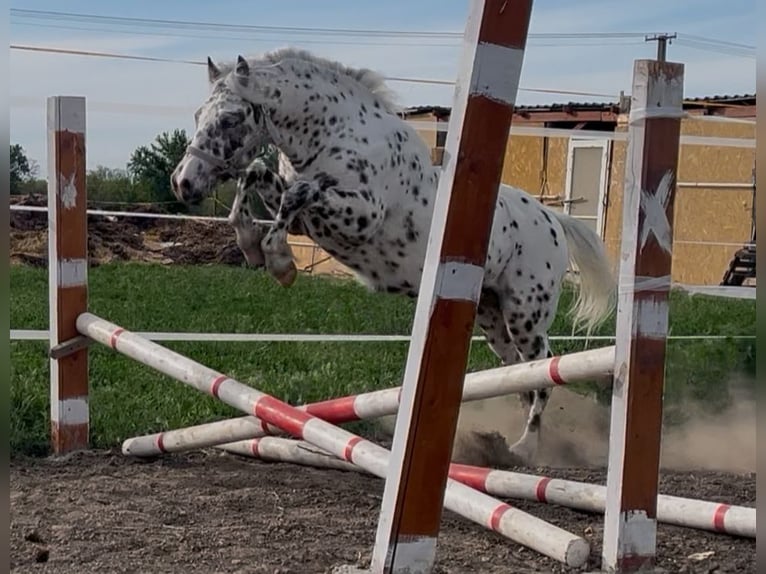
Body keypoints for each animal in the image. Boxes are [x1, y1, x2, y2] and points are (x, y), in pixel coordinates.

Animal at [170, 47, 616, 465]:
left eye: (230, 119)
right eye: (198, 114)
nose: (183, 183)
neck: (330, 137)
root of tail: (552, 219)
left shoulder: (360, 215)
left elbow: (299, 192)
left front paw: (279, 263)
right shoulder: (305, 218)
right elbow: (260, 178)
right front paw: (249, 242)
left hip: (525, 314)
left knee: (543, 370)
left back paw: (527, 447)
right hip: (492, 317)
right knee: (518, 372)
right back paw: (505, 447)